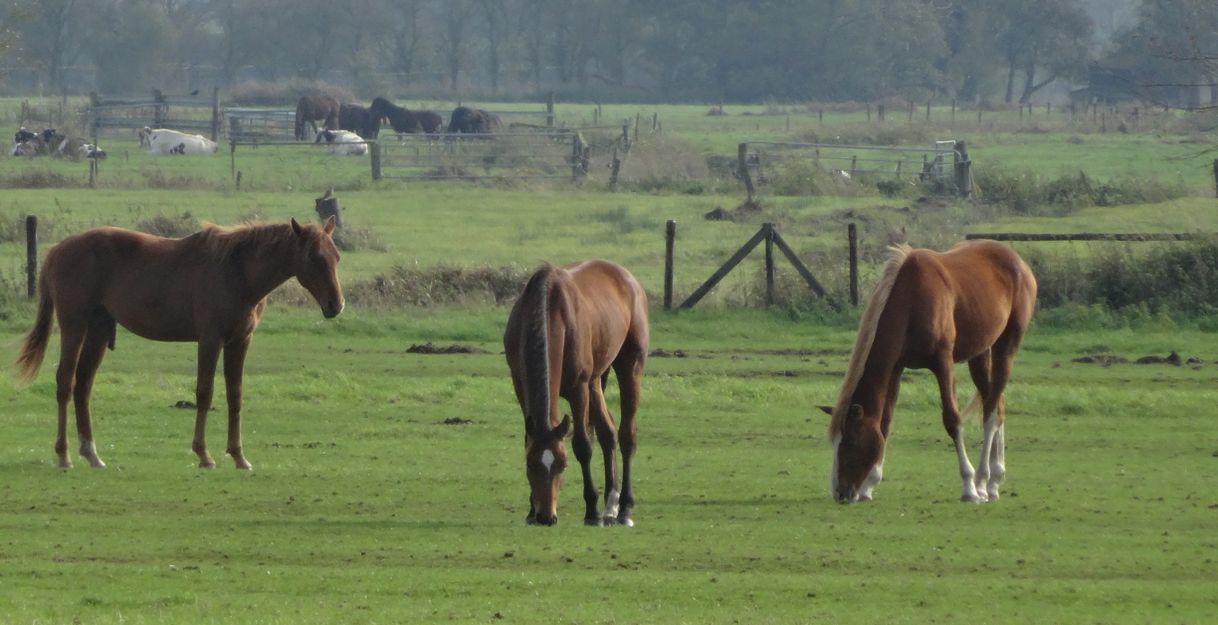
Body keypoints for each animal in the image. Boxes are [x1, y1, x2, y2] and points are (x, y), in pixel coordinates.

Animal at [14, 218, 345, 470]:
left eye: (336, 257)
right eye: (314, 257)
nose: (336, 304)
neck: (237, 270)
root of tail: (58, 250)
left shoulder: (240, 342)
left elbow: (235, 396)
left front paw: (239, 456)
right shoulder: (210, 340)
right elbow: (204, 393)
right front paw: (204, 455)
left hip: (97, 330)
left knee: (83, 385)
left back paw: (92, 454)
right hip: (74, 326)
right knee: (65, 382)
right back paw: (64, 455)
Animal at [504, 260, 649, 527]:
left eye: (563, 465)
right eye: (531, 465)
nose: (546, 516)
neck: (549, 308)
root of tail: (626, 277)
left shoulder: (578, 388)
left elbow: (583, 445)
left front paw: (591, 510)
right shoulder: (520, 385)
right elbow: (529, 440)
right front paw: (530, 510)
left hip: (629, 366)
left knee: (626, 436)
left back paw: (624, 509)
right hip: (595, 381)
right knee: (608, 432)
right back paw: (610, 506)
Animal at [821, 239, 1036, 504]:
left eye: (850, 441)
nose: (839, 493)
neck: (912, 299)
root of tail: (1018, 262)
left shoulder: (943, 363)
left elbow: (952, 420)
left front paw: (968, 487)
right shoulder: (896, 368)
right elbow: (885, 423)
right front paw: (869, 486)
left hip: (1006, 347)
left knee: (991, 414)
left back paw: (982, 482)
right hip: (980, 354)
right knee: (996, 403)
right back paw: (994, 482)